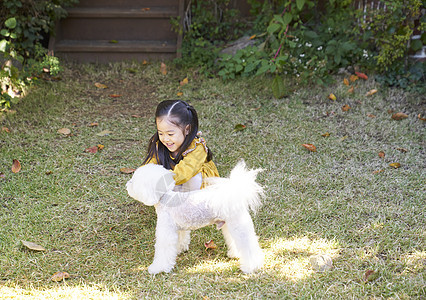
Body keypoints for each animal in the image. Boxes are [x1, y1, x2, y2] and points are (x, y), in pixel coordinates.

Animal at [126, 161, 264, 276]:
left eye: (133, 181)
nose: (127, 184)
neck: (165, 198)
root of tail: (234, 194)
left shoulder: (166, 232)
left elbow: (163, 251)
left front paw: (157, 269)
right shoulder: (179, 229)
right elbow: (181, 240)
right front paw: (179, 250)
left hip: (238, 225)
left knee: (249, 246)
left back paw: (250, 267)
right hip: (228, 225)